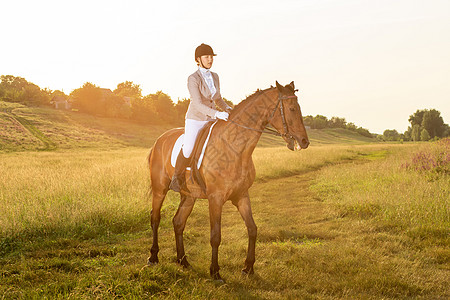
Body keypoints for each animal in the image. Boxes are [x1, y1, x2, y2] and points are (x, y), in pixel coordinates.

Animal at [148, 81, 310, 280]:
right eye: (292, 108)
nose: (304, 141)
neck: (234, 148)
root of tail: (159, 139)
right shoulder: (215, 199)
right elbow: (215, 236)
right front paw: (215, 272)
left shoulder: (242, 196)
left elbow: (252, 229)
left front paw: (248, 267)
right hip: (159, 189)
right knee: (155, 218)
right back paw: (153, 256)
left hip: (189, 196)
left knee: (178, 222)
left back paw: (183, 261)